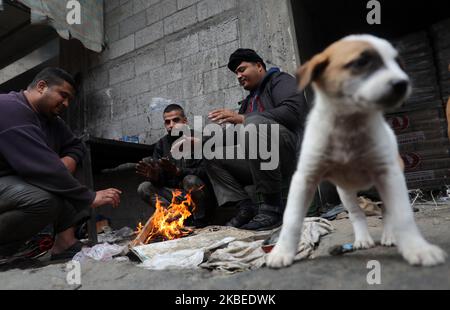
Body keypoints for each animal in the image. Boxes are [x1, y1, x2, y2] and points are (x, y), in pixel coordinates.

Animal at [268, 33, 446, 266]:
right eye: (362, 62)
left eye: (399, 63)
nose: (403, 83)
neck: (349, 124)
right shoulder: (305, 178)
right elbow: (291, 219)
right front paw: (282, 252)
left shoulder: (389, 174)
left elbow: (403, 215)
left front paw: (418, 248)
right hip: (345, 193)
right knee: (356, 213)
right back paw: (362, 239)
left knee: (387, 212)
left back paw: (390, 236)